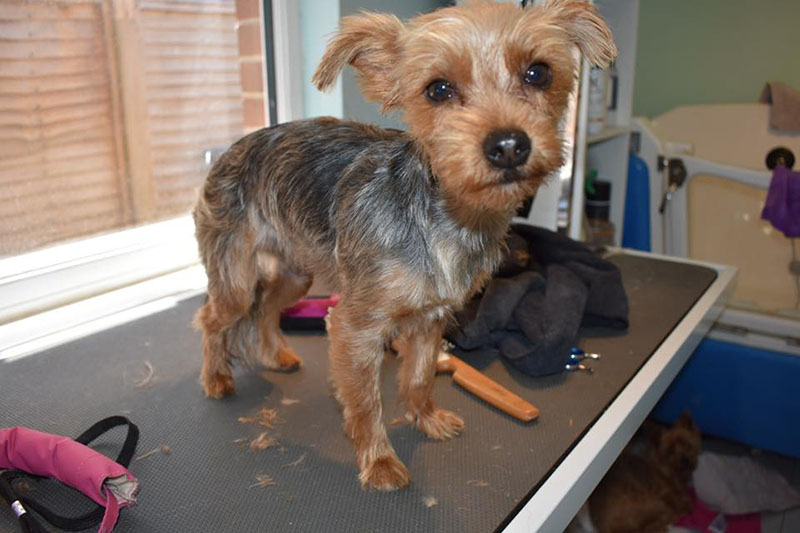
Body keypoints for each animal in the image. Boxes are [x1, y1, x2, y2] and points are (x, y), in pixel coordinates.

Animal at [191, 0, 616, 490]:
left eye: (538, 73)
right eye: (438, 89)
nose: (509, 145)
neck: (448, 219)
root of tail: (225, 153)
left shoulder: (432, 318)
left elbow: (419, 375)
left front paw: (425, 418)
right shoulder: (354, 328)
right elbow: (366, 402)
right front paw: (379, 462)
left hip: (297, 275)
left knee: (265, 310)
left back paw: (276, 355)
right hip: (236, 278)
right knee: (212, 318)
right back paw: (215, 377)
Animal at [572, 412, 704, 532]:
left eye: (687, 444)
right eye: (669, 451)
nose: (685, 460)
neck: (666, 467)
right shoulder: (665, 493)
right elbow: (679, 502)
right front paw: (685, 504)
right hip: (654, 504)